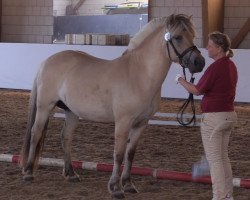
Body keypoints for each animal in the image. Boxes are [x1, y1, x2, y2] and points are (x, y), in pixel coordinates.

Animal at [20, 14, 205, 198]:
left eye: (193, 35)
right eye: (178, 37)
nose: (200, 63)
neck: (139, 75)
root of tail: (47, 61)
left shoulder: (141, 124)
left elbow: (130, 154)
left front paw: (128, 184)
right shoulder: (123, 122)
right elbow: (119, 154)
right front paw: (115, 187)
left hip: (71, 112)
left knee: (66, 137)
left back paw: (71, 174)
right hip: (44, 107)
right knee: (36, 134)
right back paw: (28, 172)